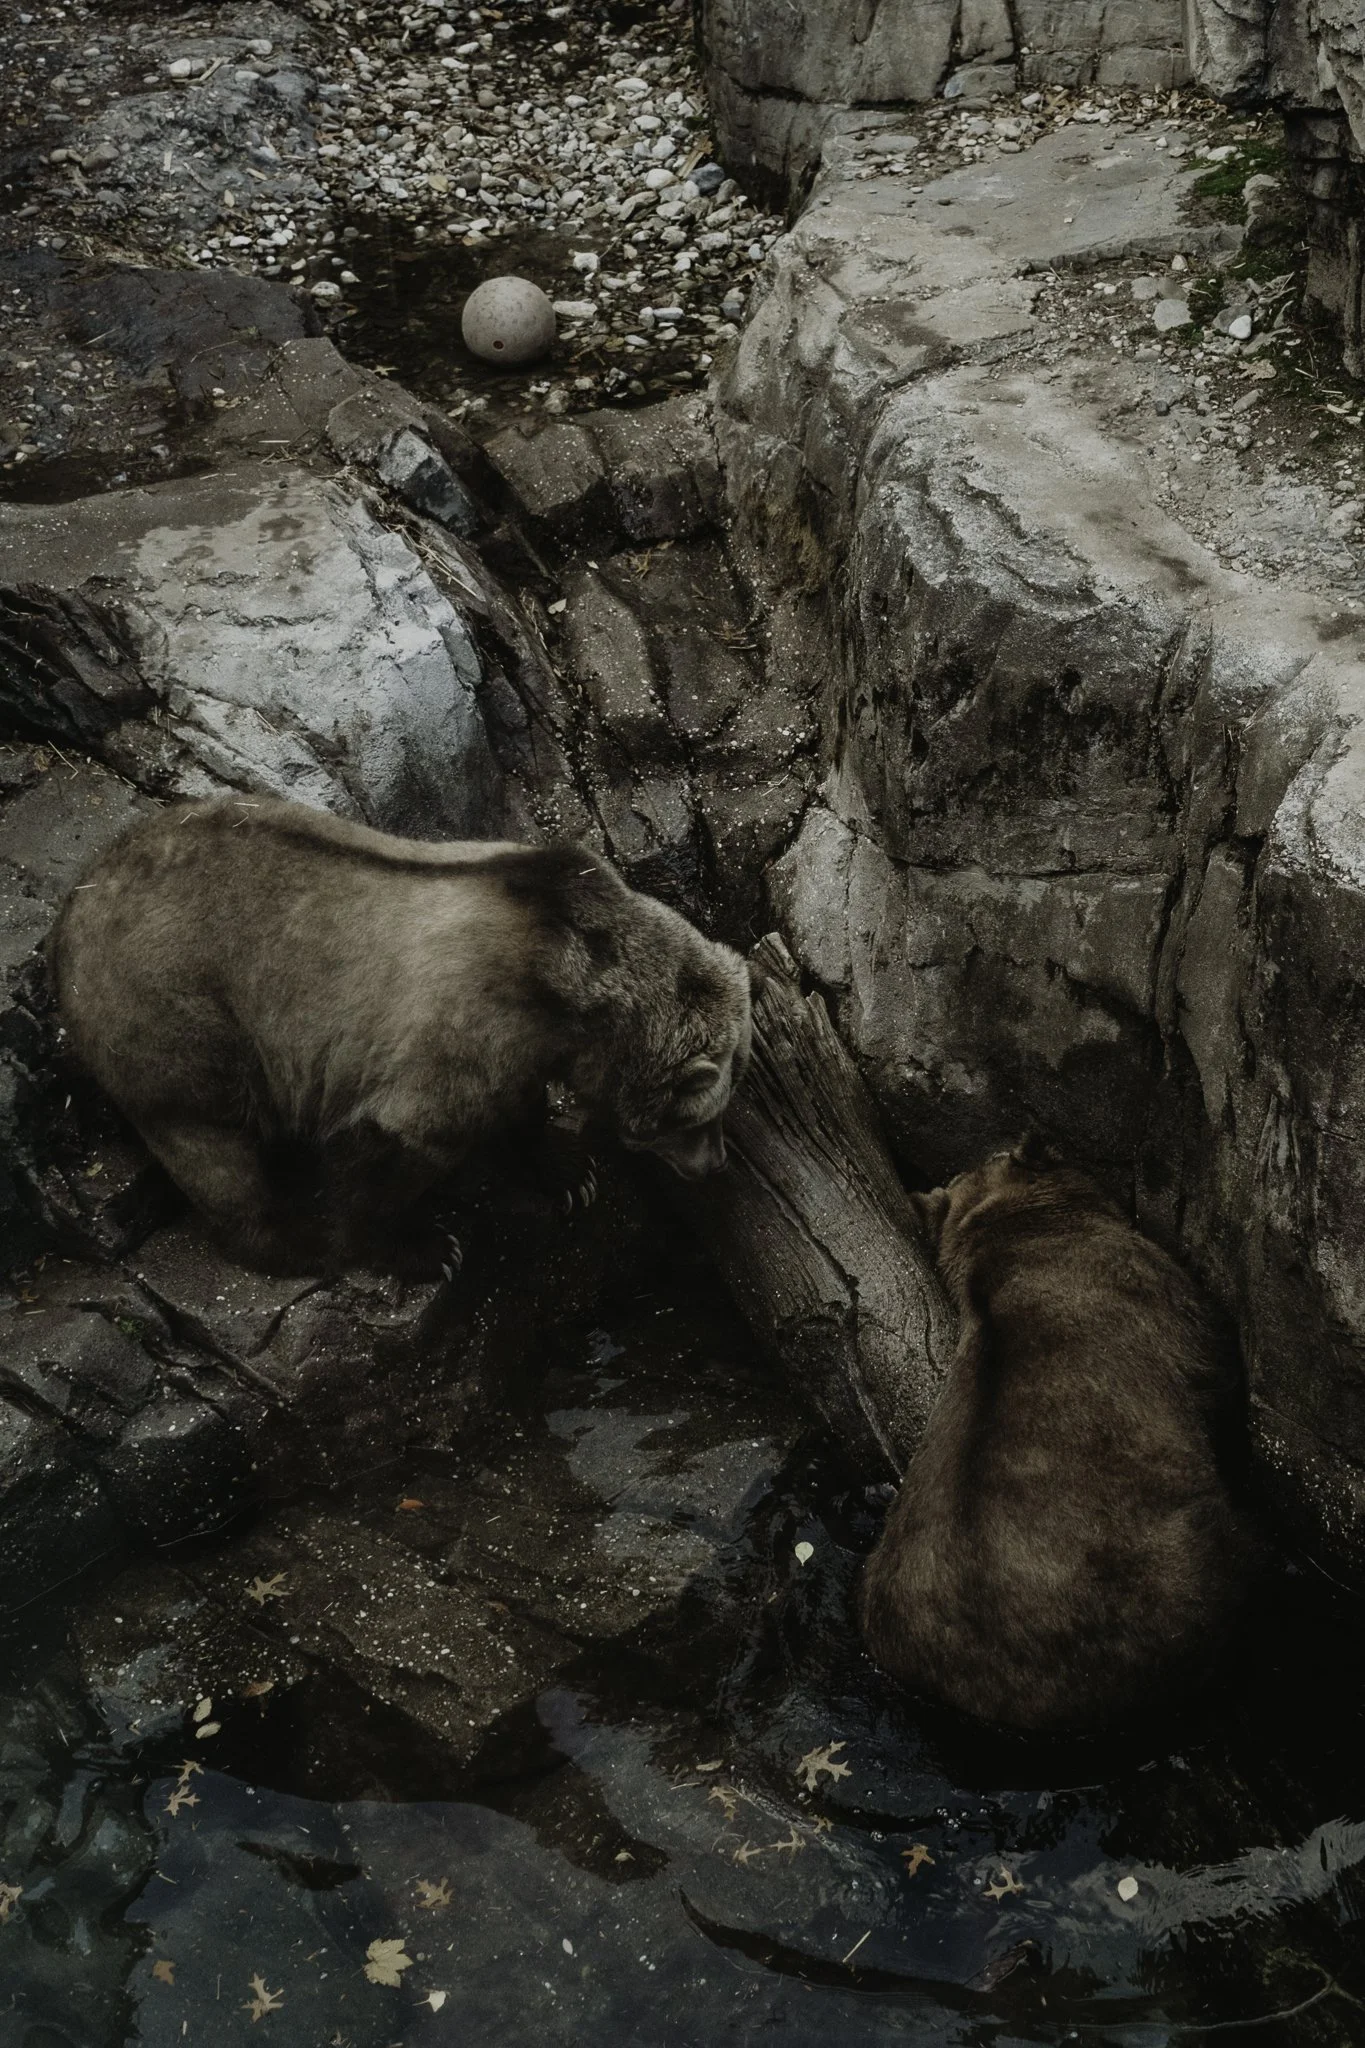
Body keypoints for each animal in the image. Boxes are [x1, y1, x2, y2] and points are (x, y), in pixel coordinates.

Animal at [52, 798, 756, 1274]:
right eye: (700, 1117)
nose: (717, 1162)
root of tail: (74, 908)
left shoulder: (517, 1040)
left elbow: (518, 1108)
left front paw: (568, 1172)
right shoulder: (458, 1029)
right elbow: (393, 1145)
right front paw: (424, 1247)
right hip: (173, 1015)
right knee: (211, 1141)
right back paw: (290, 1239)